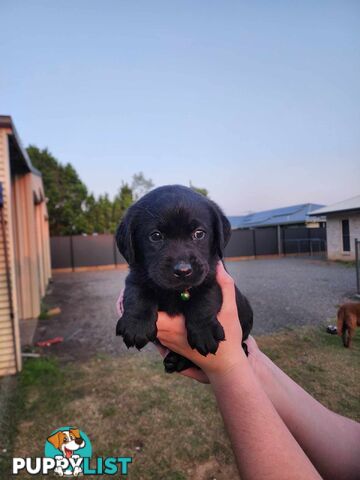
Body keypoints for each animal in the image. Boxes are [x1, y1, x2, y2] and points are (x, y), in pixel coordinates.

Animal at [115, 186, 253, 374]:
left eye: (199, 234)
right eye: (155, 236)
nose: (183, 271)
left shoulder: (211, 276)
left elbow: (204, 300)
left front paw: (204, 331)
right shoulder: (135, 276)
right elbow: (137, 293)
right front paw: (136, 325)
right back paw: (176, 360)